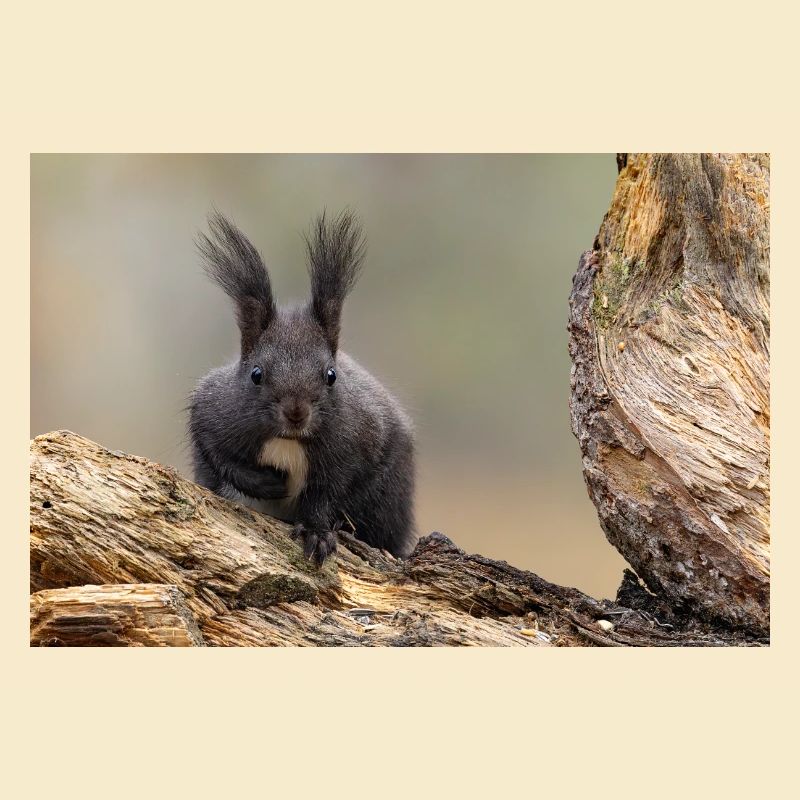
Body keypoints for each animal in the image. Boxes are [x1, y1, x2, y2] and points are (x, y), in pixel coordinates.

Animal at [188, 210, 416, 565]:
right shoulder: (211, 411)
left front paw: (316, 533)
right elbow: (216, 454)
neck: (288, 440)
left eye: (331, 375)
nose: (296, 413)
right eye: (256, 374)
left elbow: (327, 492)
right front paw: (269, 484)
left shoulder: (358, 442)